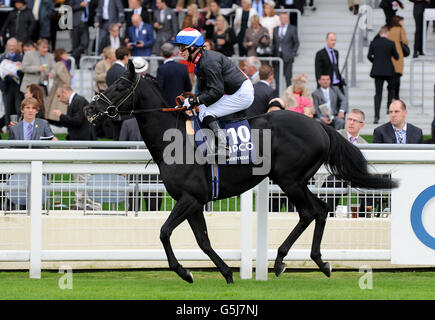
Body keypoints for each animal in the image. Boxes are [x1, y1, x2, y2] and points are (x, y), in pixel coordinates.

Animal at [84, 60, 398, 284]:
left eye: (119, 86)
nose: (90, 108)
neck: (173, 139)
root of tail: (320, 125)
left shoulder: (188, 198)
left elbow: (164, 232)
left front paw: (185, 272)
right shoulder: (195, 201)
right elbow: (203, 240)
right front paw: (225, 272)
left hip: (289, 179)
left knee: (311, 211)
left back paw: (283, 261)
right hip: (296, 180)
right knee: (320, 210)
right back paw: (316, 261)